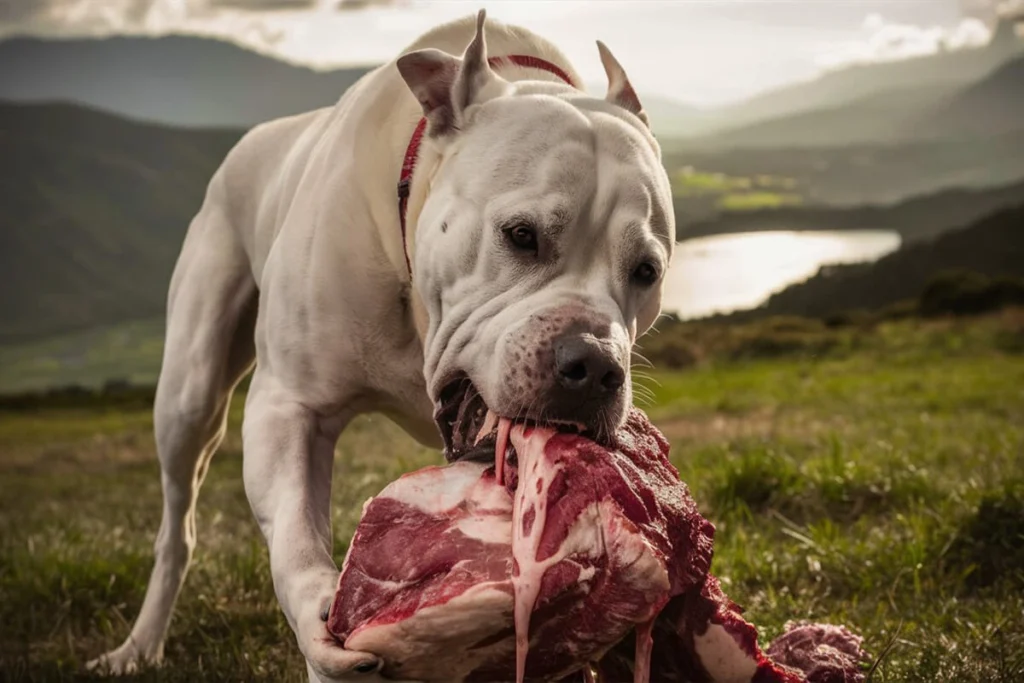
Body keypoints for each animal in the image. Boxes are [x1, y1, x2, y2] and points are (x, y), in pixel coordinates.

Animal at [92, 10, 675, 683]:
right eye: (521, 235)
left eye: (647, 271)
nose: (594, 366)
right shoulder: (289, 404)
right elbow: (295, 533)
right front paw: (322, 617)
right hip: (189, 391)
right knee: (176, 524)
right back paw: (138, 646)